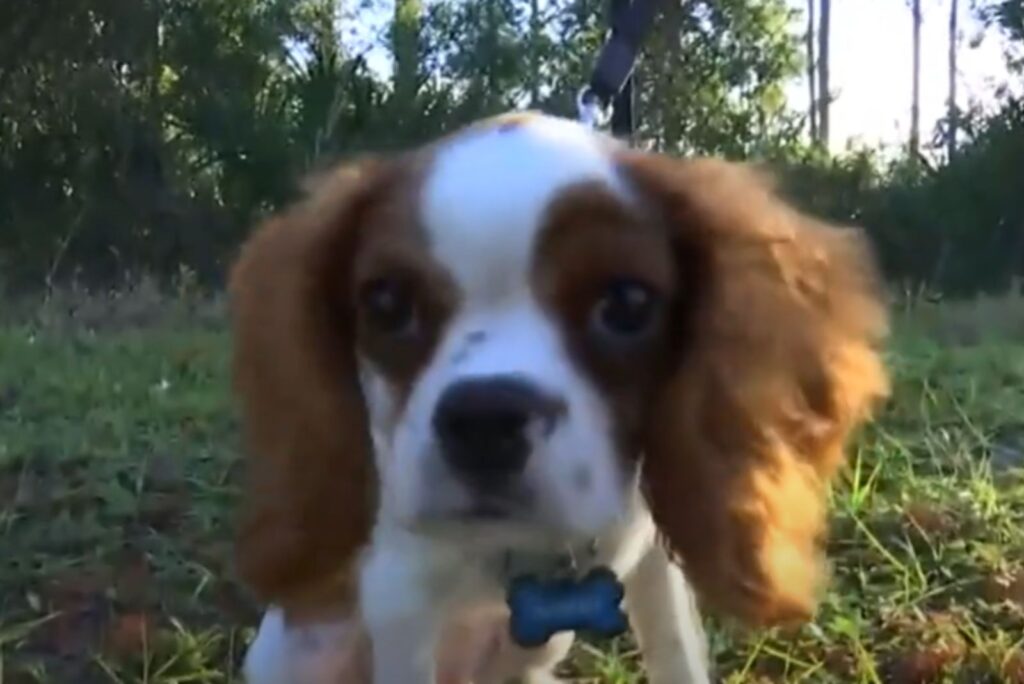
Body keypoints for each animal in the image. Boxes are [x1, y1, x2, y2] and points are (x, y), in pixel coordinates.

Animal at [226, 109, 888, 679]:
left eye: (626, 304)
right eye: (386, 303)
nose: (484, 420)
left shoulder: (656, 565)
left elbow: (676, 653)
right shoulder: (401, 603)